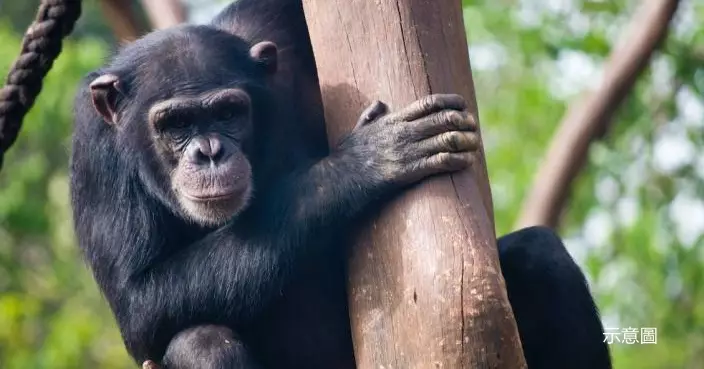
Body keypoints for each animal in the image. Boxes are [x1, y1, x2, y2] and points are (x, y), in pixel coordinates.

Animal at [67, 0, 612, 368]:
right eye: (175, 124)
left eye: (228, 112)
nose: (209, 151)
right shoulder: (94, 155)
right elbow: (139, 300)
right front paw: (363, 163)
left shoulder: (275, 32)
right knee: (200, 344)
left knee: (540, 256)